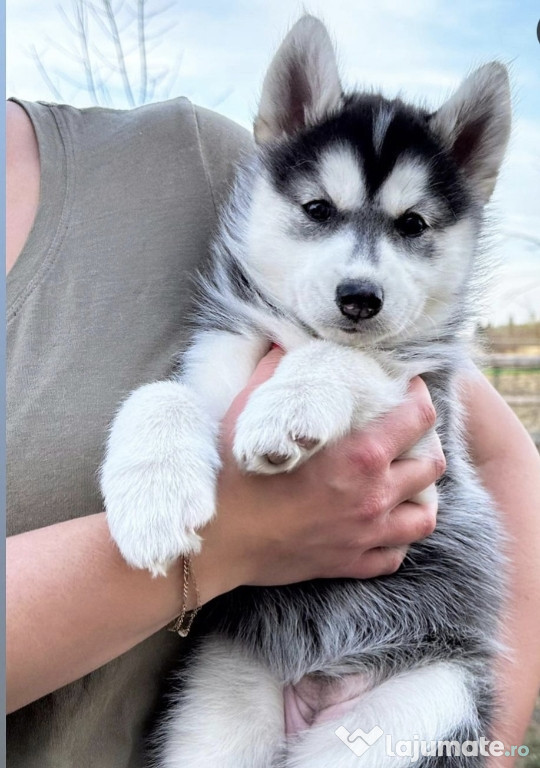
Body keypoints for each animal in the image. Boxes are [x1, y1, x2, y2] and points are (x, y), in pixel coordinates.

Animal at [100, 13, 510, 768]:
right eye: (318, 209)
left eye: (413, 225)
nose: (360, 298)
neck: (293, 336)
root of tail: (316, 688)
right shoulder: (215, 367)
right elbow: (159, 395)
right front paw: (154, 500)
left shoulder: (428, 434)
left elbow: (347, 360)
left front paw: (290, 405)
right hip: (215, 710)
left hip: (414, 710)